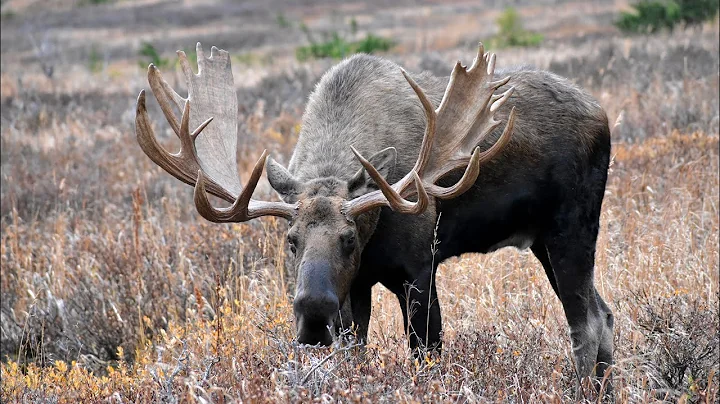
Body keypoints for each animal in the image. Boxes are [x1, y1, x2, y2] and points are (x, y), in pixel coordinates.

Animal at [135, 43, 613, 390]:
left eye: (349, 238)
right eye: (291, 240)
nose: (313, 313)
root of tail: (602, 115)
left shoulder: (418, 269)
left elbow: (426, 355)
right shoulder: (356, 286)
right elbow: (353, 355)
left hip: (571, 228)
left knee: (585, 324)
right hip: (542, 242)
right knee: (605, 314)